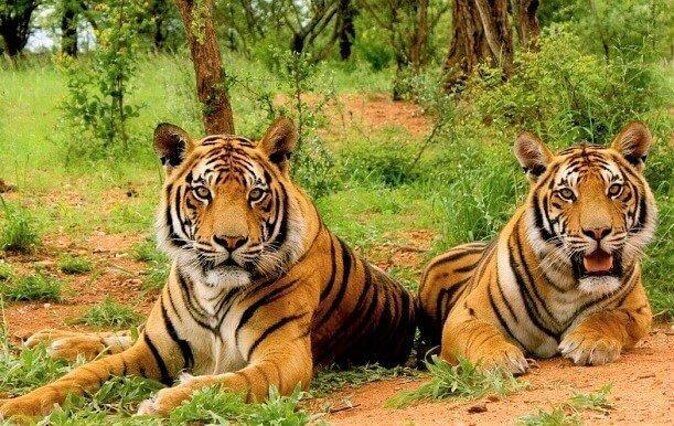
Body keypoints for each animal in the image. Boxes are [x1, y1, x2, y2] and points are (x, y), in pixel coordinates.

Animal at [0, 117, 416, 418]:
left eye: (255, 194)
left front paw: (165, 400)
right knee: (124, 334)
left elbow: (228, 383)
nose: (230, 241)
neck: (213, 289)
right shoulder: (153, 350)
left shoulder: (285, 357)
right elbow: (84, 376)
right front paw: (16, 406)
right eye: (203, 192)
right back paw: (52, 341)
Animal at [418, 121, 656, 374]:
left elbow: (608, 317)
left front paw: (590, 342)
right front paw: (498, 358)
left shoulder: (638, 309)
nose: (598, 231)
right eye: (567, 193)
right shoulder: (465, 314)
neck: (566, 284)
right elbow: (480, 333)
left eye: (614, 190)